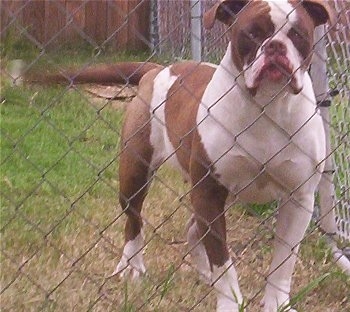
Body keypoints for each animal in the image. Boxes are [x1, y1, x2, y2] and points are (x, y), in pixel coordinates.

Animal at [33, 0, 336, 310]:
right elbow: (223, 263)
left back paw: (202, 272)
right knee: (134, 219)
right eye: (251, 33)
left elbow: (283, 265)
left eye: (298, 34)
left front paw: (277, 303)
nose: (275, 46)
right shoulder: (209, 194)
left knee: (192, 229)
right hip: (135, 172)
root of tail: (159, 69)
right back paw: (132, 265)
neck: (267, 106)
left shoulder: (298, 199)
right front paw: (230, 302)